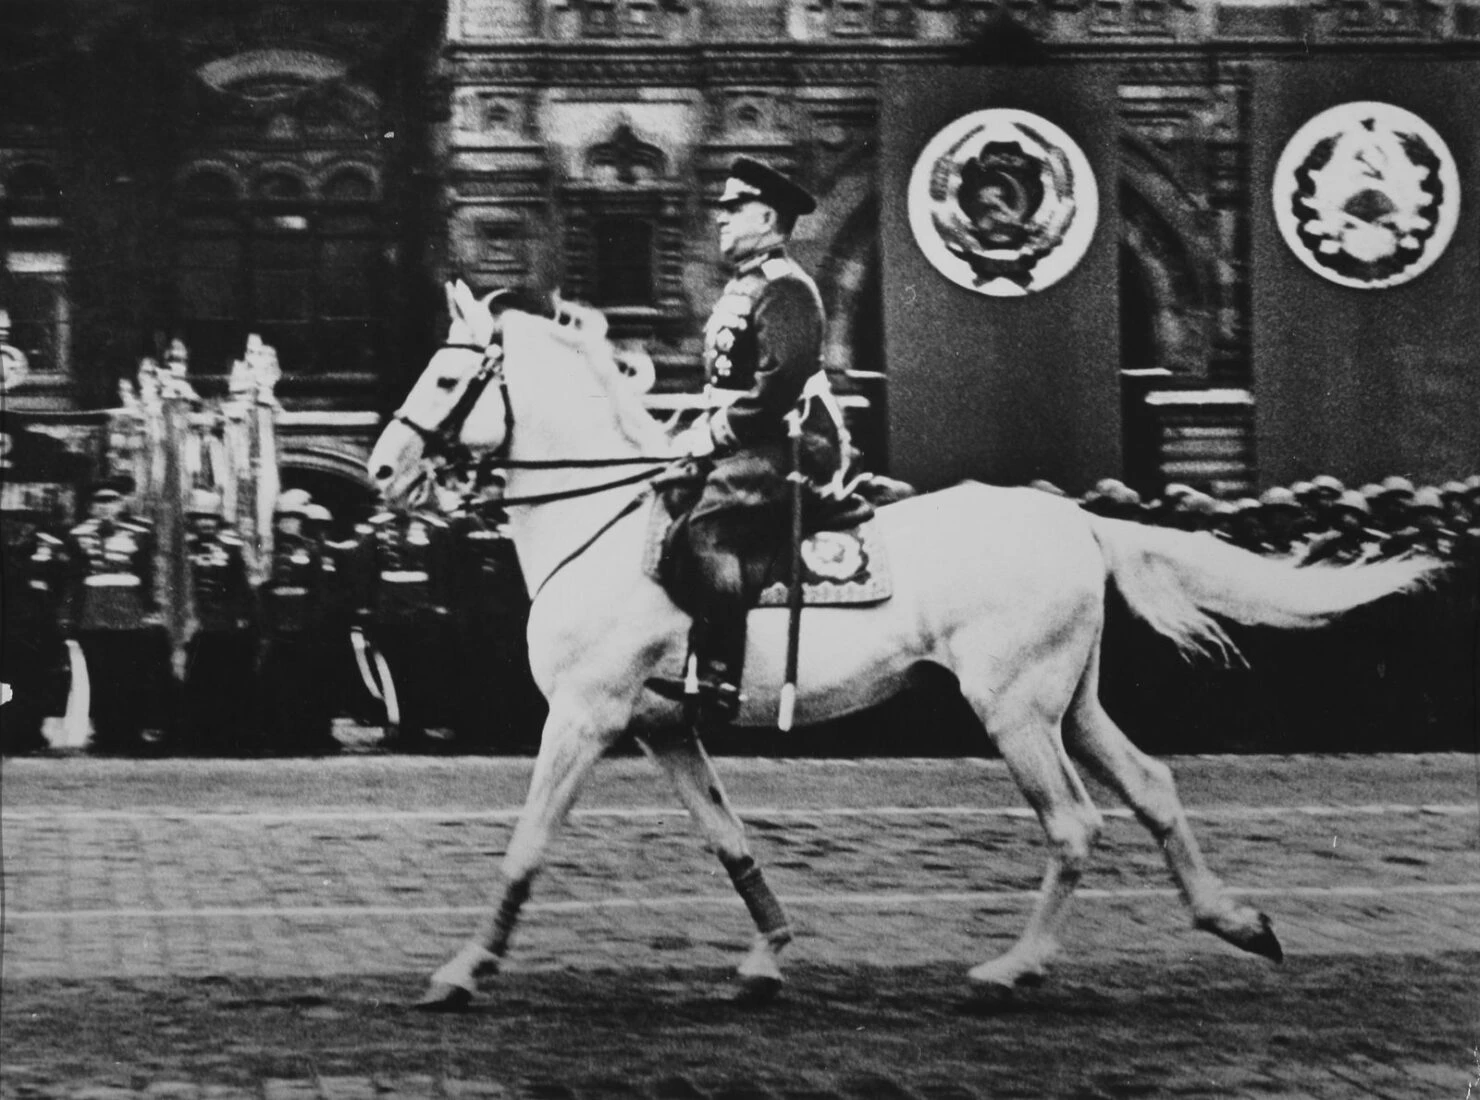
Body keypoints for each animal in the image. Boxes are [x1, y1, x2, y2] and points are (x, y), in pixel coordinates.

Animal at [372, 279, 1444, 1012]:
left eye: (448, 373)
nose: (383, 469)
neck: (600, 526)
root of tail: (1075, 519)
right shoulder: (662, 729)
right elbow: (729, 839)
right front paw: (768, 954)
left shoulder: (584, 718)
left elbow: (526, 845)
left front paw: (462, 970)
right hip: (1072, 701)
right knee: (1150, 787)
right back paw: (1235, 921)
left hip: (1015, 707)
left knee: (1075, 824)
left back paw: (1015, 967)